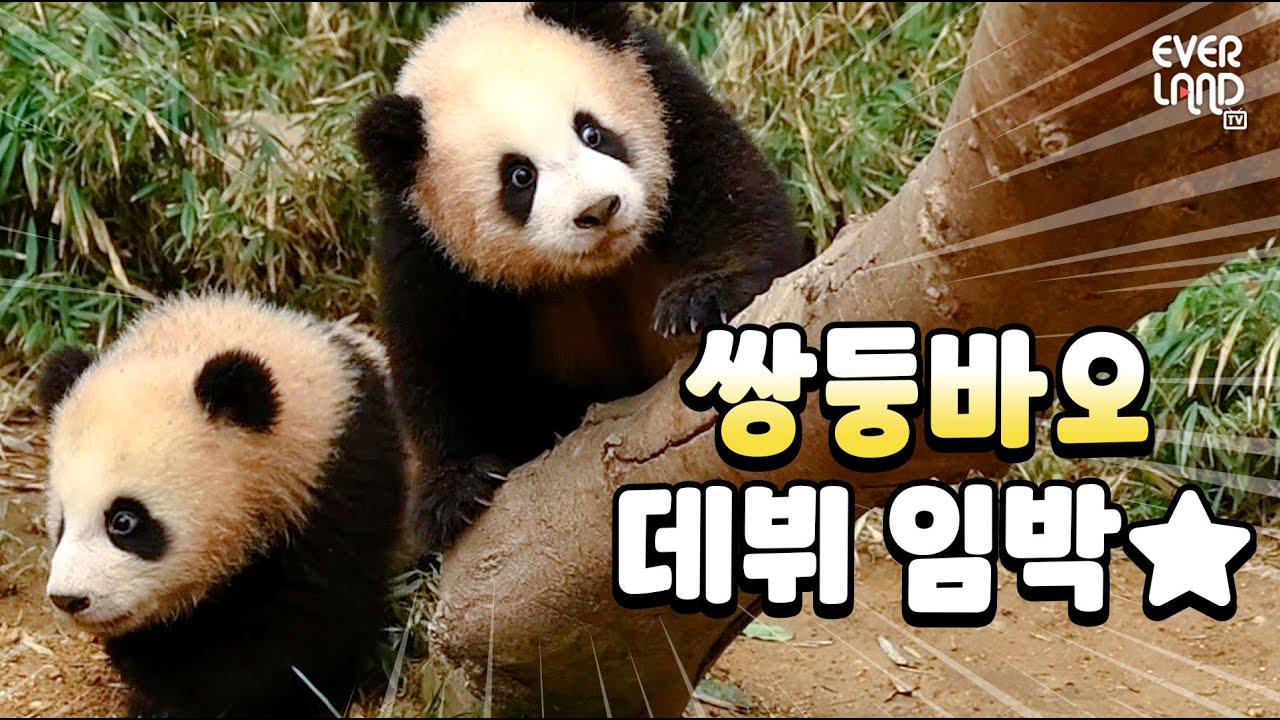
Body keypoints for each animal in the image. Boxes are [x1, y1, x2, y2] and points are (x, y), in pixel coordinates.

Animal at [355, 2, 809, 551]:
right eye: (519, 176)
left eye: (592, 132)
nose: (599, 208)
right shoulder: (422, 236)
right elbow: (436, 352)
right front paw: (454, 491)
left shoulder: (665, 97)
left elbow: (735, 197)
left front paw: (701, 298)